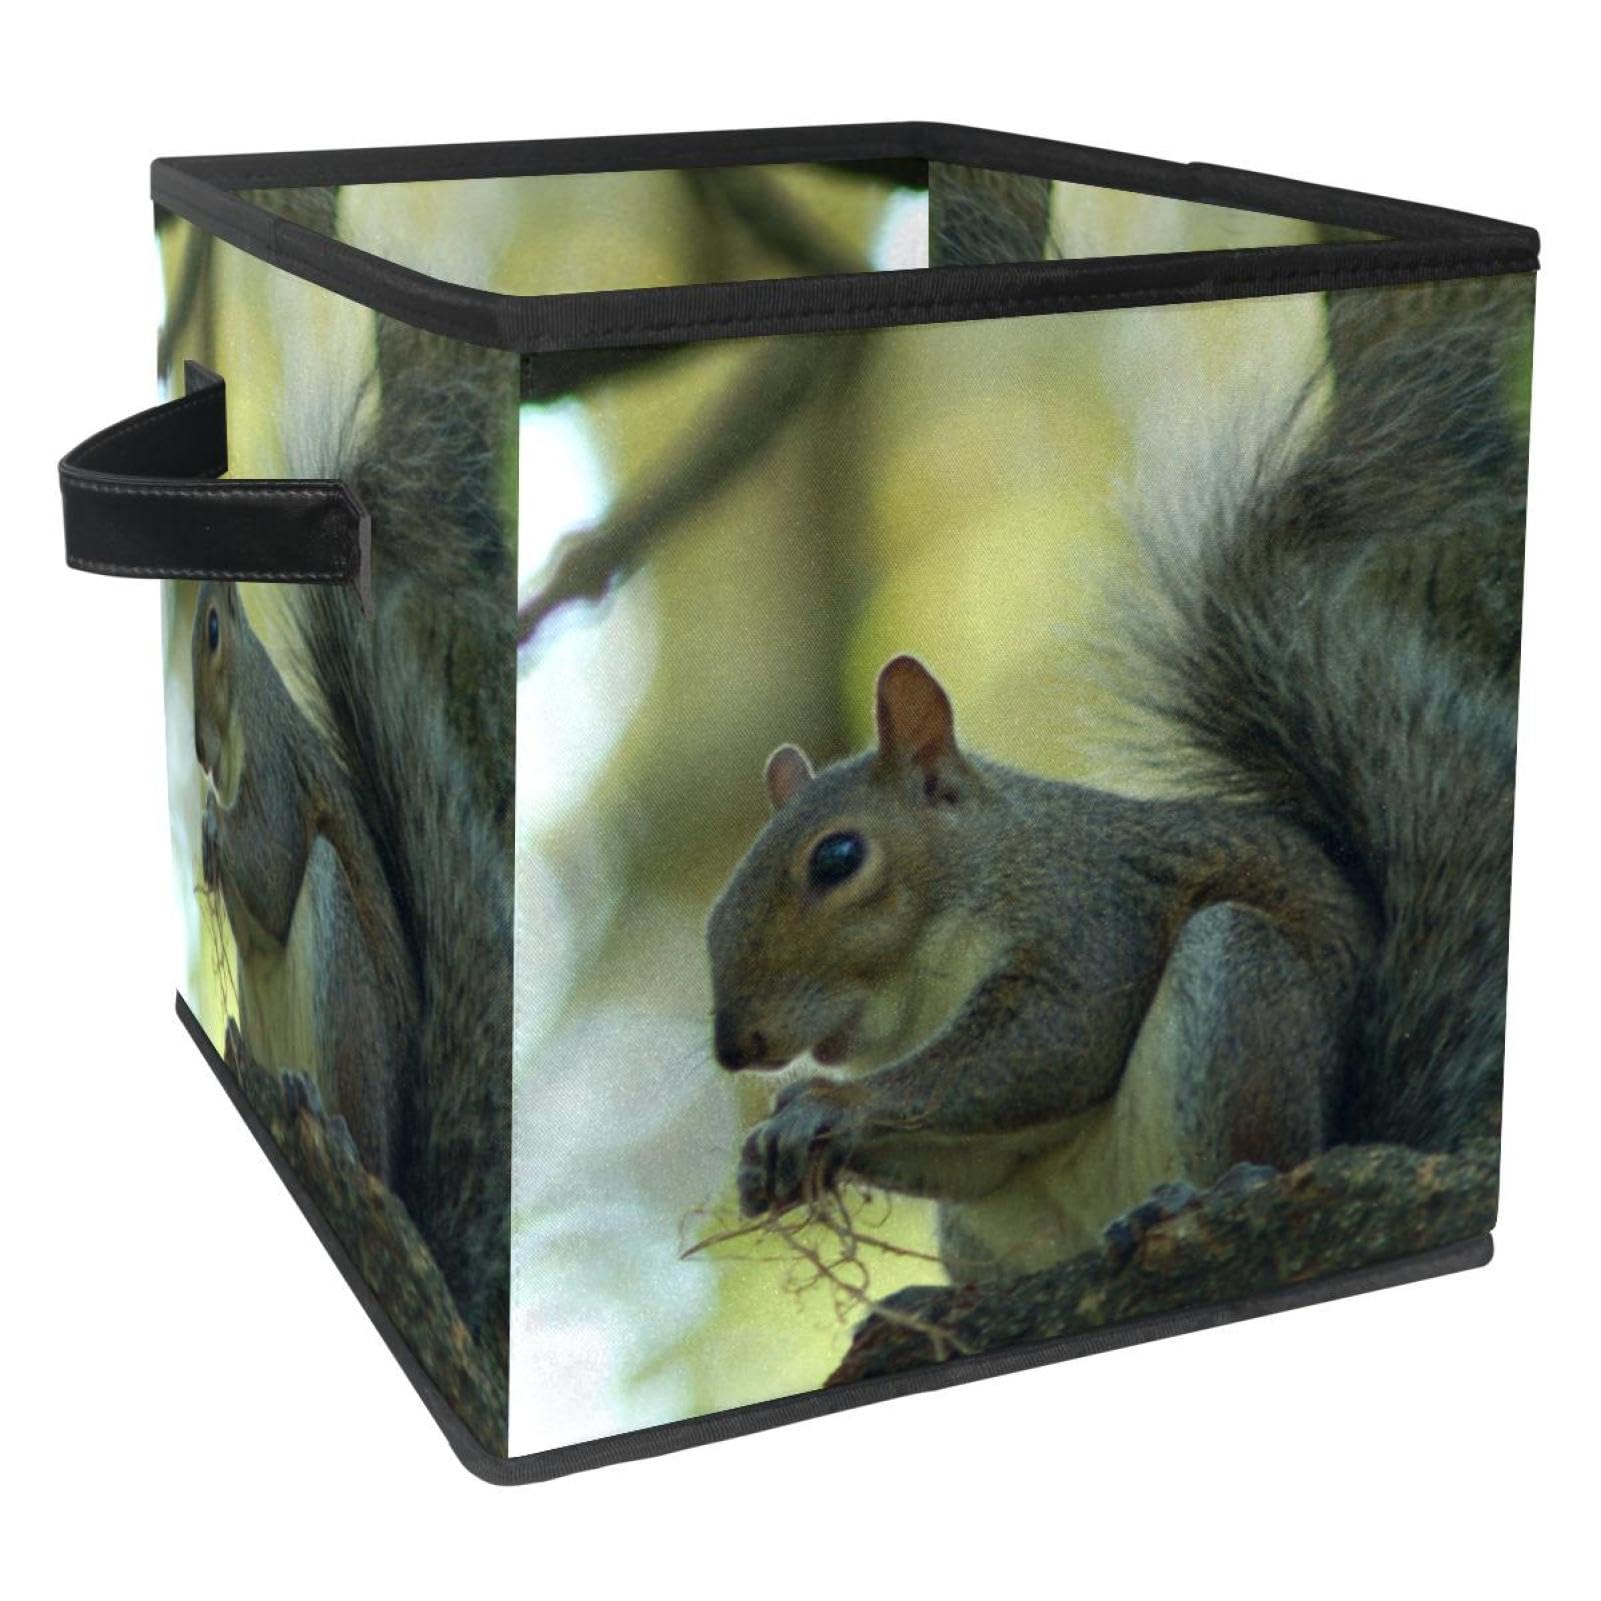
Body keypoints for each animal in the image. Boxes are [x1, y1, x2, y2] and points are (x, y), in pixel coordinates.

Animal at [191, 330, 514, 1351]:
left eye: (210, 630)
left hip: (345, 1006)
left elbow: (268, 866)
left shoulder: (280, 785)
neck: (243, 724)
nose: (196, 750)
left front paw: (213, 834)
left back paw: (329, 1126)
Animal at [706, 275, 1529, 1283]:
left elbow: (1050, 1046)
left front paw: (830, 1104)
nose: (734, 1043)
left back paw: (1205, 1194)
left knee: (1253, 1145)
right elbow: (974, 1150)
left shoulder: (1086, 915)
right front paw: (778, 1147)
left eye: (837, 858)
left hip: (1243, 992)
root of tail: (1346, 1135)